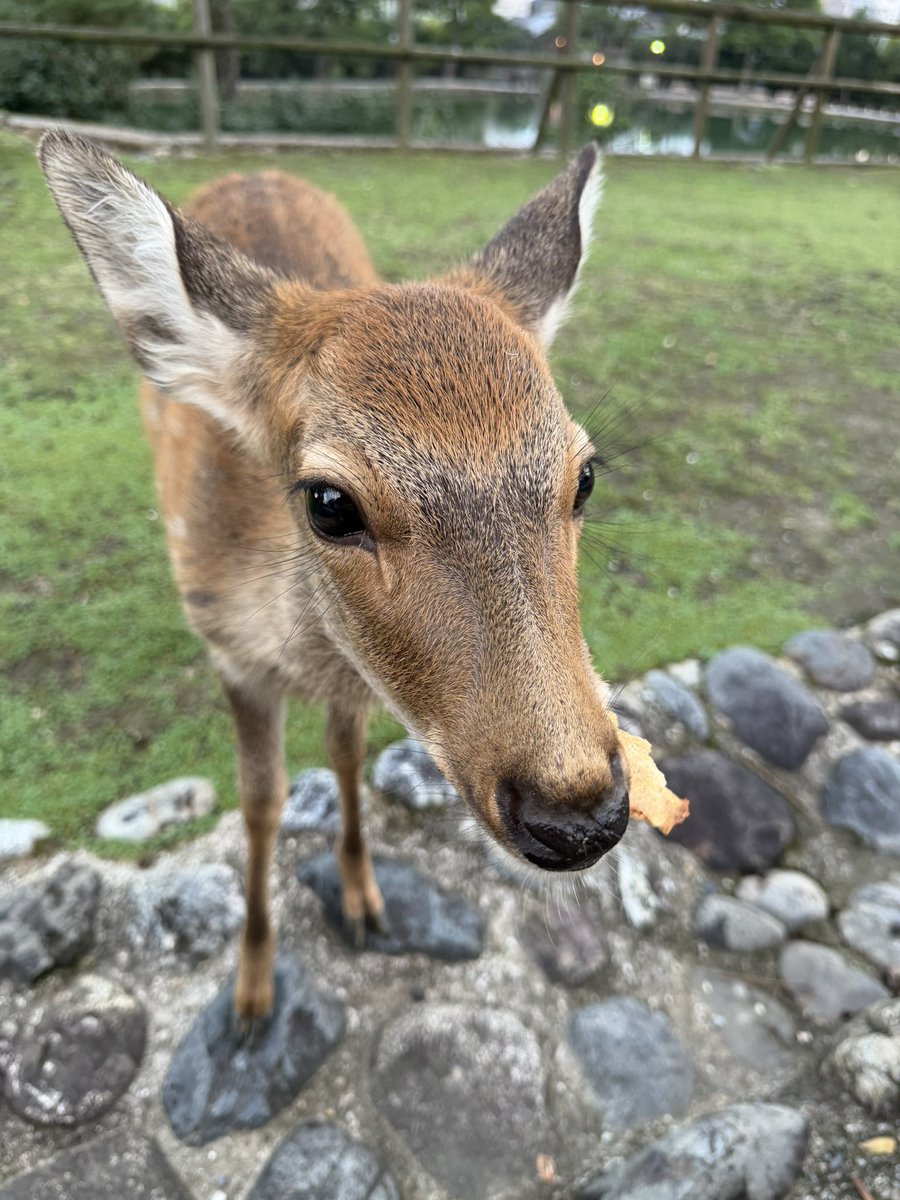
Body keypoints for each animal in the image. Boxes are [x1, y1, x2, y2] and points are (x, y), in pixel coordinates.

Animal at [38, 131, 630, 1026]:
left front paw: (364, 900)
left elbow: (346, 755)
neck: (297, 651)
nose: (579, 813)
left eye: (585, 476)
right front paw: (251, 990)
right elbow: (260, 799)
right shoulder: (228, 653)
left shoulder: (354, 677)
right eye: (328, 501)